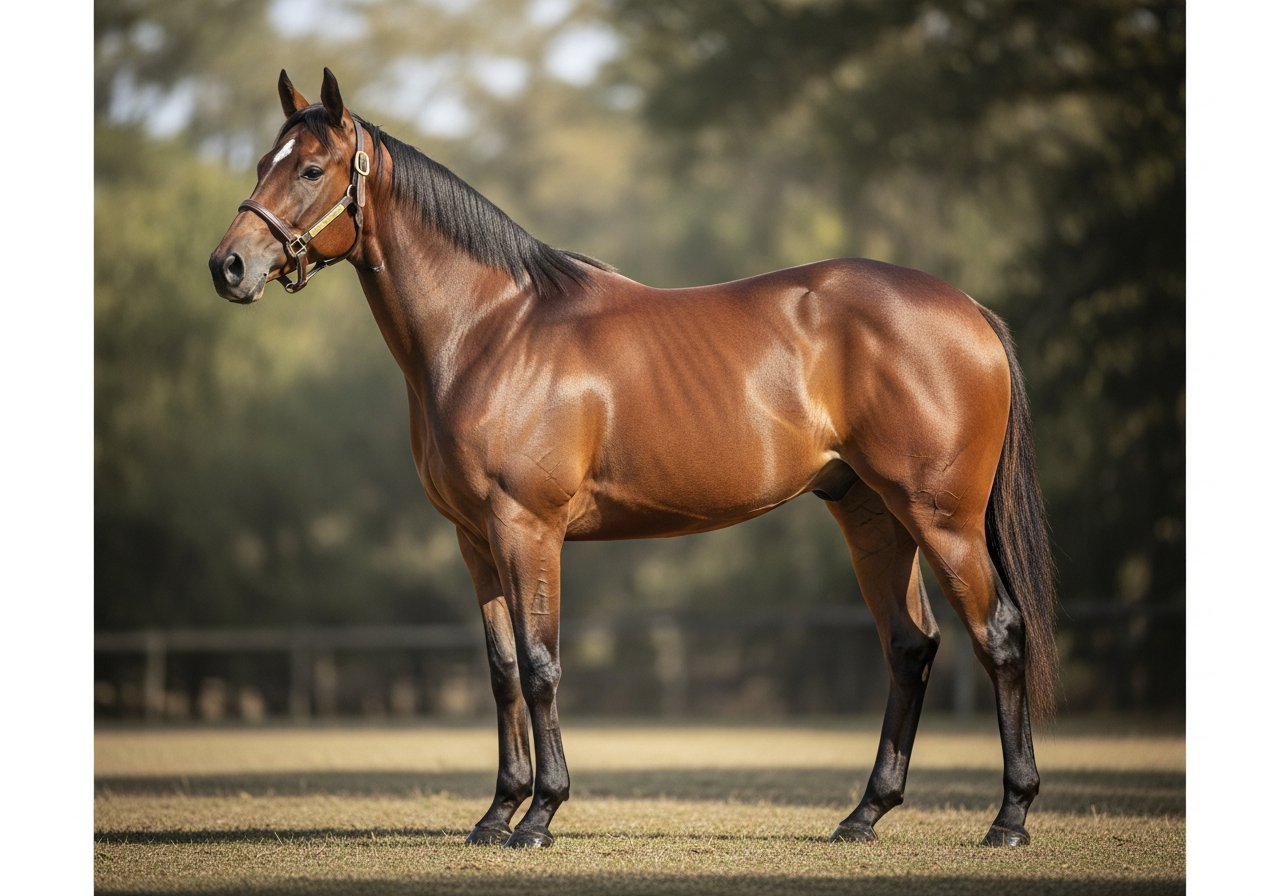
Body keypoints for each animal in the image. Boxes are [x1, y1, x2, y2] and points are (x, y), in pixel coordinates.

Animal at [210, 69, 1057, 849]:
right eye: (260, 162)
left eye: (311, 169)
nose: (229, 267)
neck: (490, 330)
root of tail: (970, 311)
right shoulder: (475, 539)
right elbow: (502, 671)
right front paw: (496, 813)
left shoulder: (528, 529)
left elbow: (541, 663)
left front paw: (540, 815)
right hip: (872, 513)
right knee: (910, 647)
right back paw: (864, 815)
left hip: (941, 519)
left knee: (999, 636)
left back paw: (1010, 817)